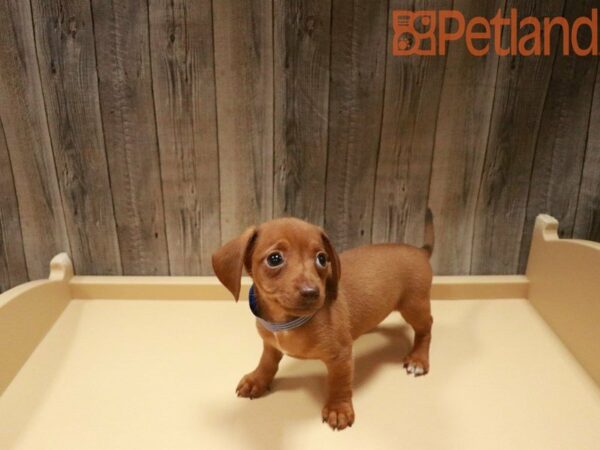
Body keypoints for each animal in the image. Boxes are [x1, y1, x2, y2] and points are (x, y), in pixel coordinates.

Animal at [213, 213, 434, 430]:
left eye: (322, 258)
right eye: (274, 259)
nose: (312, 292)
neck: (286, 322)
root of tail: (420, 251)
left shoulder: (342, 356)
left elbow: (339, 383)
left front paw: (338, 409)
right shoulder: (270, 344)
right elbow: (267, 362)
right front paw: (257, 380)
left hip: (414, 306)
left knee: (426, 328)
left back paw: (418, 359)